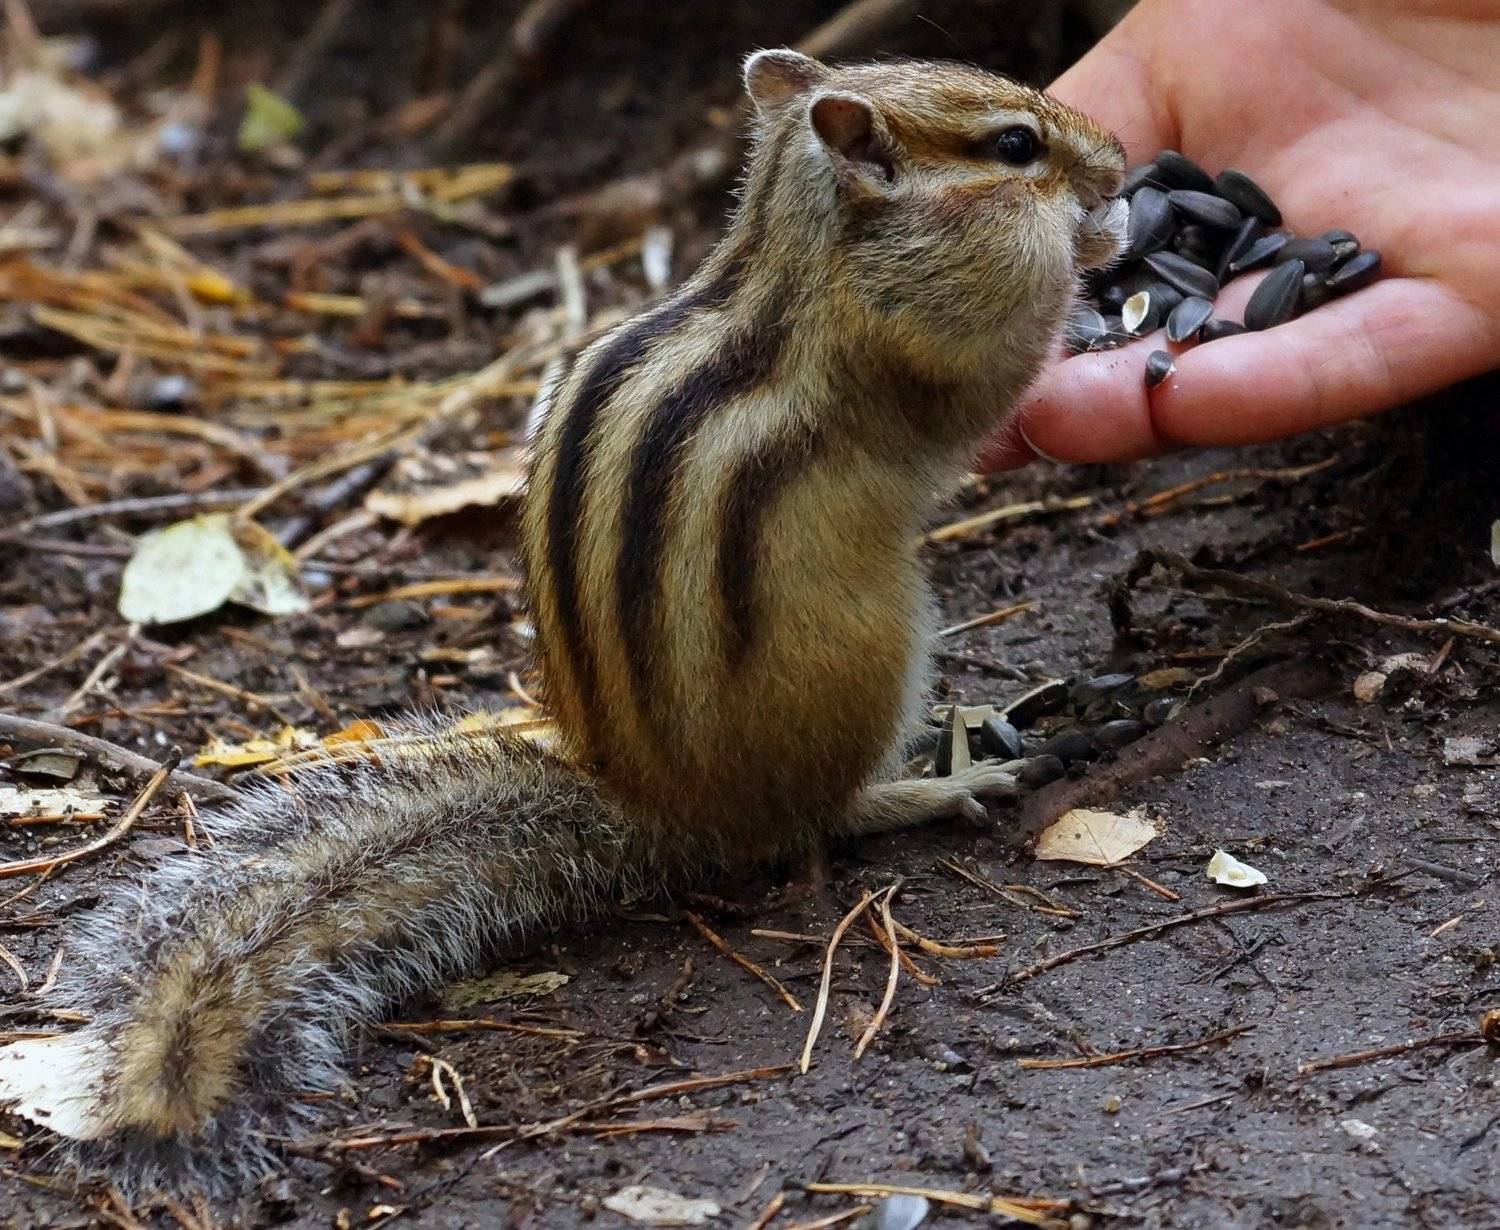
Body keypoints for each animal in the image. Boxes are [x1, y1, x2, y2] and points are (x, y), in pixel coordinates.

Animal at [0, 49, 1125, 1195]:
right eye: (1016, 146)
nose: (1120, 163)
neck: (804, 257)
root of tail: (673, 810)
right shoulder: (925, 339)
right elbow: (991, 379)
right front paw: (1098, 251)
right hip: (877, 647)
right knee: (825, 817)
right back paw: (947, 778)